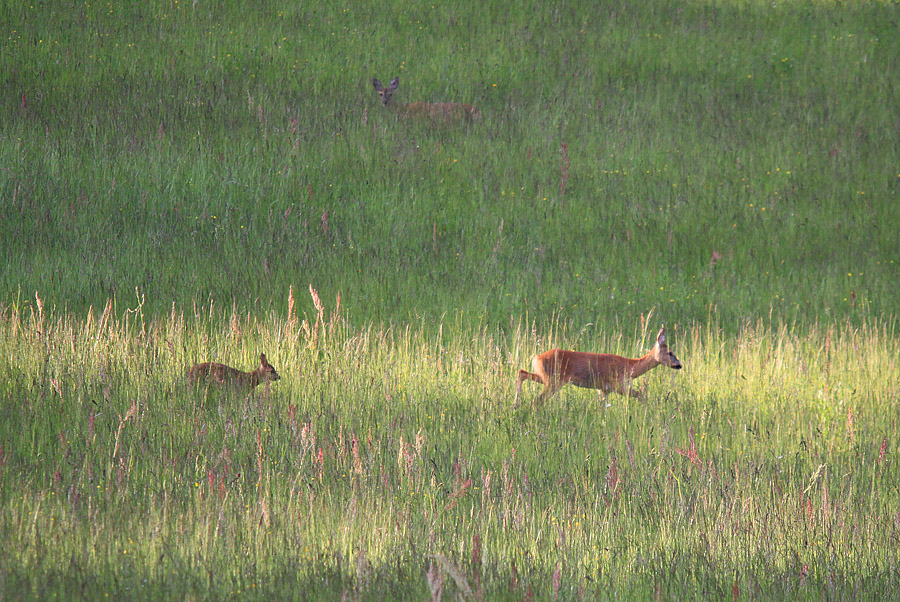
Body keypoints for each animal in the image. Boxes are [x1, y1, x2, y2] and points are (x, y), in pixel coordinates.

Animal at [512, 326, 684, 406]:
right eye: (670, 352)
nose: (679, 365)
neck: (630, 366)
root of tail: (536, 358)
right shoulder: (617, 384)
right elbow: (641, 394)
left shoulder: (603, 389)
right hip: (554, 380)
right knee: (537, 400)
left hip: (546, 377)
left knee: (522, 372)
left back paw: (515, 404)